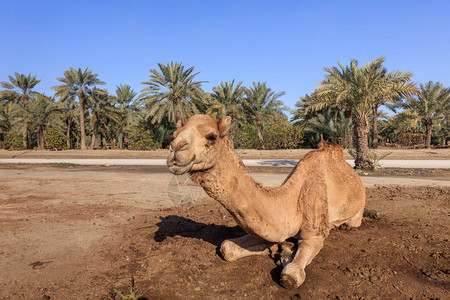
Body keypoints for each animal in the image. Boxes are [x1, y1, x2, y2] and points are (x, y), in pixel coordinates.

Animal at [165, 115, 366, 288]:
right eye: (173, 135)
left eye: (212, 136)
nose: (176, 148)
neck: (291, 203)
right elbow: (227, 247)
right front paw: (275, 249)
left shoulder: (315, 234)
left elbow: (291, 276)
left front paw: (285, 256)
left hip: (356, 214)